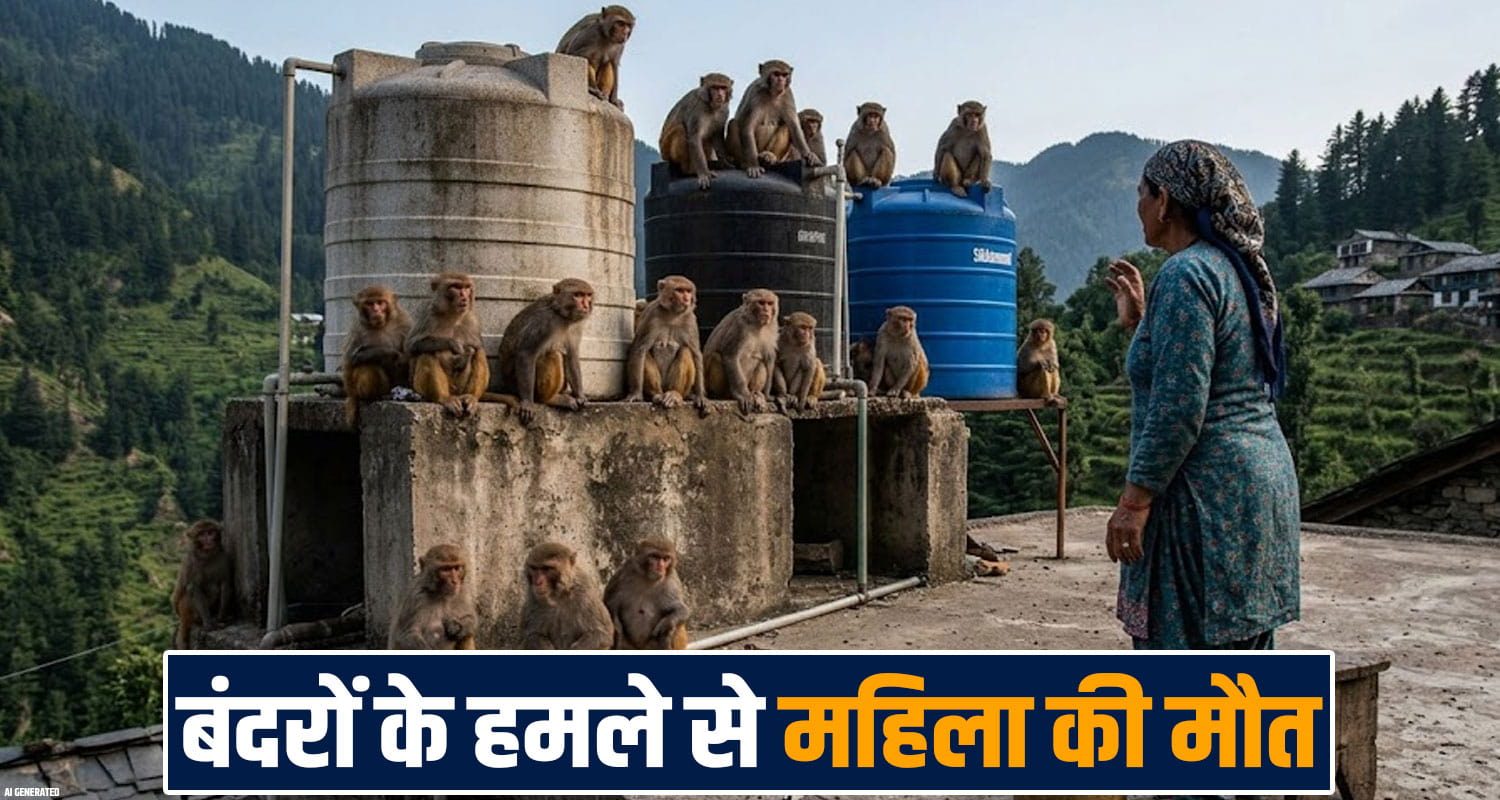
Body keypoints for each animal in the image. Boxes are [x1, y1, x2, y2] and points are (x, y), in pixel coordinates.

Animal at [171, 520, 234, 650]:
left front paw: (222, 617)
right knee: (189, 591)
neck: (208, 554)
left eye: (210, 532)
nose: (208, 539)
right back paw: (200, 620)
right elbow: (195, 588)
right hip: (184, 610)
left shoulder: (224, 558)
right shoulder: (192, 563)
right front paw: (208, 623)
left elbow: (225, 583)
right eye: (202, 534)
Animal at [341, 285, 412, 424]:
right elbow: (350, 360)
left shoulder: (404, 320)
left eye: (380, 302)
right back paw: (374, 397)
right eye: (370, 304)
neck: (382, 324)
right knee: (369, 365)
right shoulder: (358, 328)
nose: (376, 310)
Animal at [406, 272, 488, 418]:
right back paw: (445, 398)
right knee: (427, 353)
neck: (452, 316)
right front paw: (453, 344)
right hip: (424, 388)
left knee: (479, 351)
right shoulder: (427, 315)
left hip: (460, 388)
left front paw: (464, 354)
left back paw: (471, 397)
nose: (464, 296)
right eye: (455, 287)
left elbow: (477, 345)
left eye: (467, 287)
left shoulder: (473, 320)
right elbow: (411, 346)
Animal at [489, 278, 594, 426]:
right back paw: (550, 399)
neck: (561, 315)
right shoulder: (544, 322)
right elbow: (526, 354)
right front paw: (527, 402)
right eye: (578, 295)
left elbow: (572, 356)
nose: (586, 305)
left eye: (588, 295)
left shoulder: (576, 326)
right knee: (553, 355)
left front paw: (580, 395)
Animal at [624, 275, 707, 412]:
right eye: (679, 290)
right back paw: (657, 394)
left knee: (686, 351)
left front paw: (700, 395)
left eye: (688, 291)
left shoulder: (690, 320)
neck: (672, 314)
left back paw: (675, 394)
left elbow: (696, 354)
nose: (686, 298)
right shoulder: (652, 315)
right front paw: (636, 393)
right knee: (646, 353)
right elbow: (639, 349)